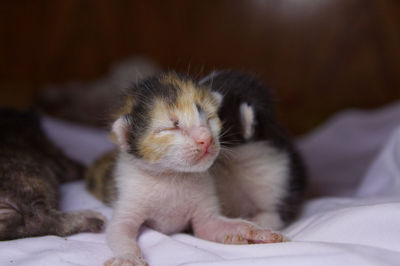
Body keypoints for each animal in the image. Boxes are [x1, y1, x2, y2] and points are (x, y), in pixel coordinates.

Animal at [88, 72, 284, 266]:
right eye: (170, 128)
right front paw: (128, 258)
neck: (172, 176)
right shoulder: (129, 197)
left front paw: (256, 231)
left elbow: (209, 227)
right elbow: (119, 231)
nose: (206, 138)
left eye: (209, 118)